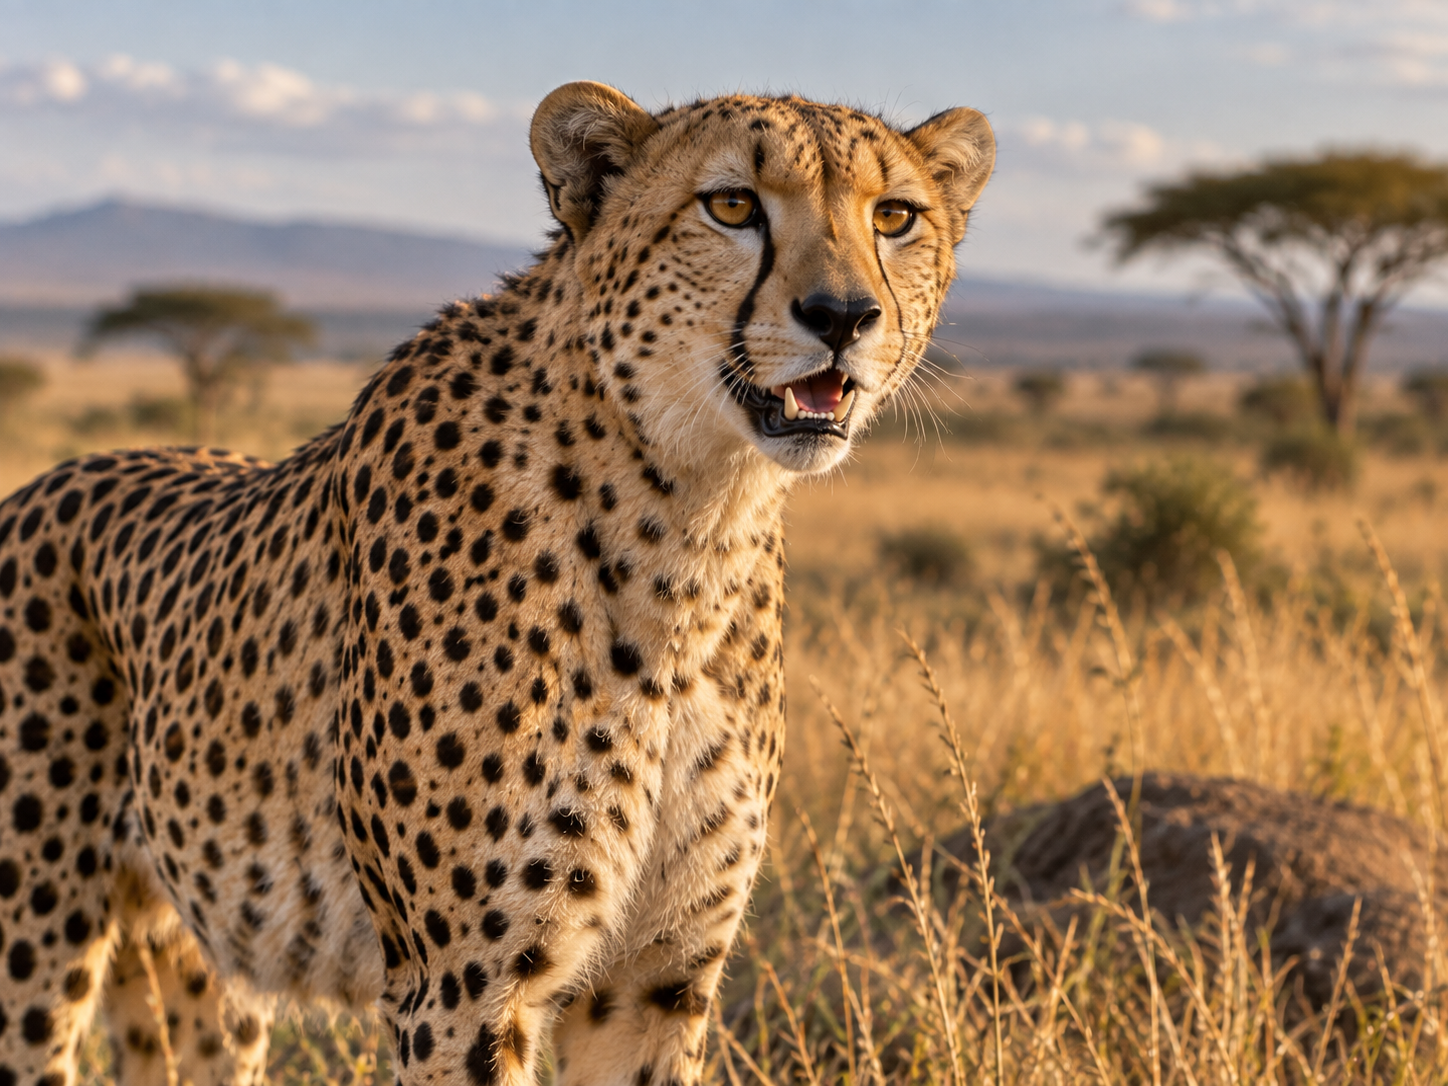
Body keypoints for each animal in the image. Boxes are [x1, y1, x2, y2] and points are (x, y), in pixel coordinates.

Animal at [0, 80, 993, 1086]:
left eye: (895, 217)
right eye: (732, 205)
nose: (843, 316)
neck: (689, 519)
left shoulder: (657, 977)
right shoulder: (461, 983)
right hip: (32, 954)